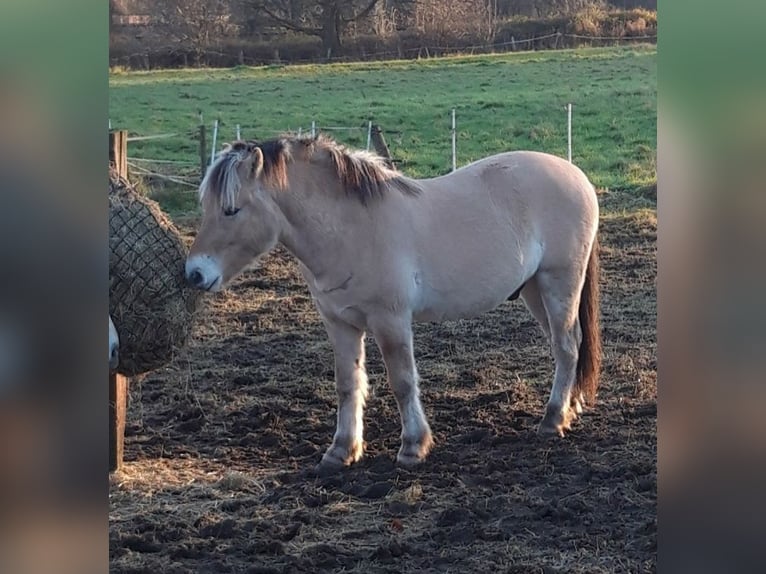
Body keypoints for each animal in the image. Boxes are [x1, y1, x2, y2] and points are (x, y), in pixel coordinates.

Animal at [184, 135, 600, 472]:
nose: (194, 273)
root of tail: (577, 175)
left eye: (232, 209)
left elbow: (402, 381)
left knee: (565, 346)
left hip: (558, 282)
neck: (350, 230)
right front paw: (341, 451)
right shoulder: (340, 324)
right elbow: (348, 384)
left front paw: (413, 447)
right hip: (534, 290)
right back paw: (570, 407)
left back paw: (552, 420)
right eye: (207, 206)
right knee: (569, 345)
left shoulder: (391, 321)